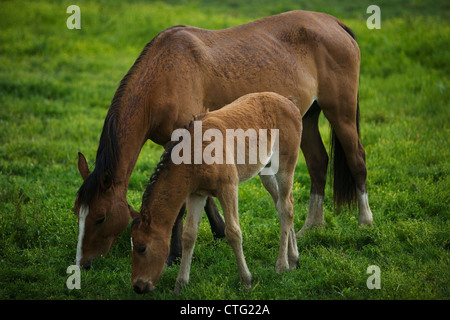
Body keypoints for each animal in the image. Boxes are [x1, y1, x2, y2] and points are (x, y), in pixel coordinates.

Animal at [75, 10, 374, 268]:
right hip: (308, 118)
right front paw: (218, 231)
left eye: (100, 218)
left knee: (357, 159)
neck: (165, 74)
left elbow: (181, 206)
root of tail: (334, 23)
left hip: (340, 111)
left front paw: (173, 254)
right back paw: (311, 226)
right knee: (318, 163)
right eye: (78, 212)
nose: (83, 263)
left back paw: (365, 221)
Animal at [131, 91, 302, 294]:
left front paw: (246, 280)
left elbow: (233, 232)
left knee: (286, 208)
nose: (138, 286)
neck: (196, 153)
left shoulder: (228, 187)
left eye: (142, 248)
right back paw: (293, 259)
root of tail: (289, 102)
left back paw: (282, 265)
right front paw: (180, 284)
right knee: (284, 203)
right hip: (266, 171)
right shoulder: (196, 194)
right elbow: (189, 235)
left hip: (285, 165)